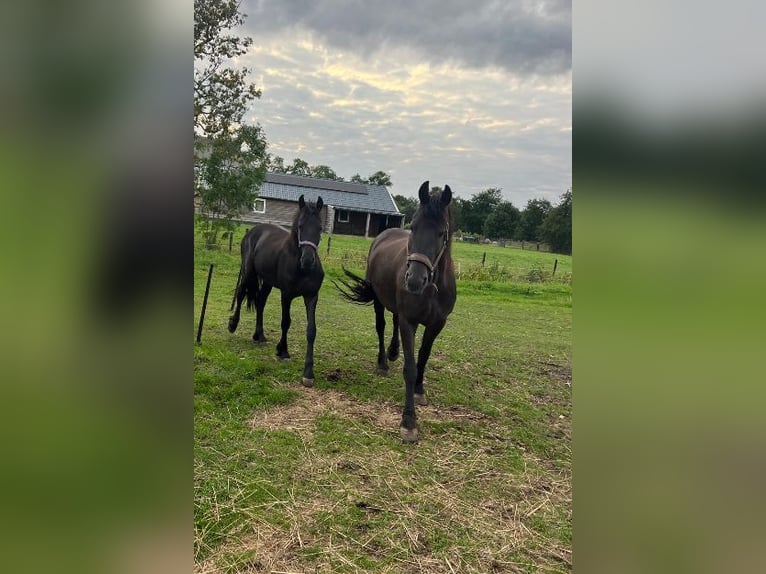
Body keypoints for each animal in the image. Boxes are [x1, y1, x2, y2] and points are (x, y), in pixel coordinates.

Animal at [228, 195, 325, 387]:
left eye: (319, 228)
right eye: (300, 226)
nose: (308, 260)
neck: (301, 268)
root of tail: (253, 231)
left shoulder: (311, 297)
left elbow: (311, 330)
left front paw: (308, 373)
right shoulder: (286, 295)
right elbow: (286, 322)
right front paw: (283, 351)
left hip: (267, 282)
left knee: (260, 303)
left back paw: (259, 336)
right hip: (249, 272)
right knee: (242, 293)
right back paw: (233, 324)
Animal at [336, 181, 456, 442]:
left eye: (442, 233)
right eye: (413, 226)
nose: (414, 280)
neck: (433, 287)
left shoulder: (437, 324)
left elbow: (423, 358)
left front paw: (420, 390)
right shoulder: (409, 321)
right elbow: (410, 368)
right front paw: (409, 421)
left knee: (393, 322)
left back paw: (393, 351)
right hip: (379, 302)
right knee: (382, 326)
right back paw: (383, 361)